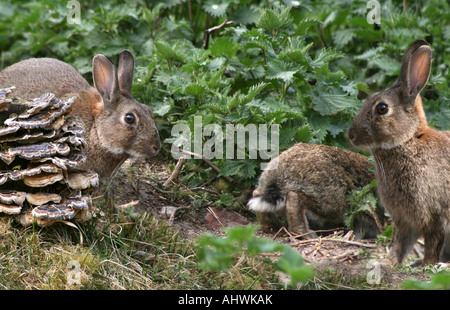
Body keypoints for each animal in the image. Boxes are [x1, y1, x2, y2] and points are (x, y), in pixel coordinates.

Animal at [246, 143, 384, 240]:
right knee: (294, 197)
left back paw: (272, 226)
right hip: (332, 202)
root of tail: (279, 174)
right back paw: (306, 234)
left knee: (256, 193)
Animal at [348, 39, 450, 266]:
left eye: (382, 108)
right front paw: (388, 262)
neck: (408, 141)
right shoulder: (404, 219)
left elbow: (432, 244)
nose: (351, 135)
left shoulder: (435, 216)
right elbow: (400, 243)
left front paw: (427, 265)